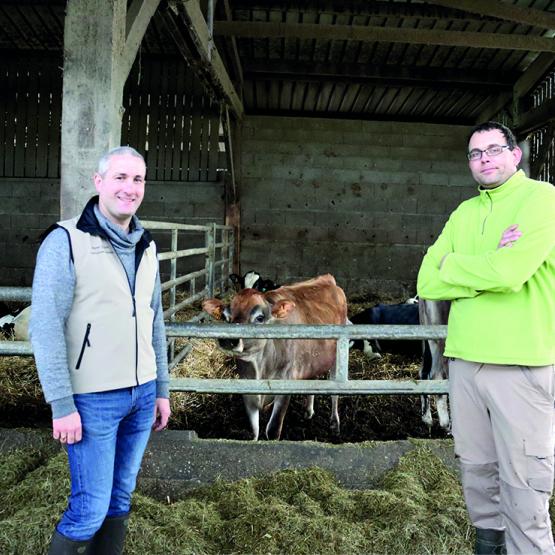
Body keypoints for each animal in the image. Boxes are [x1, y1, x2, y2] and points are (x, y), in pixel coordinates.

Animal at [202, 274, 350, 438]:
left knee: (335, 391)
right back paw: (308, 412)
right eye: (226, 317)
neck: (260, 366)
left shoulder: (285, 383)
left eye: (260, 318)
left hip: (338, 358)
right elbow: (254, 430)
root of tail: (326, 278)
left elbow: (272, 430)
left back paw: (335, 423)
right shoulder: (247, 390)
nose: (228, 339)